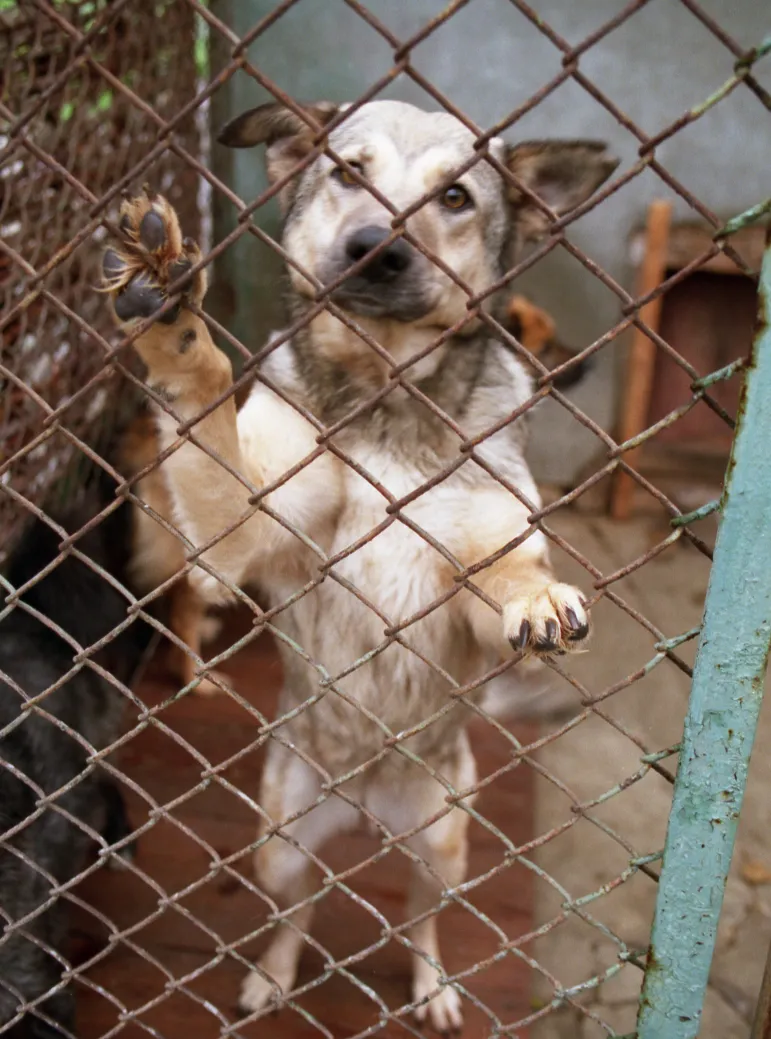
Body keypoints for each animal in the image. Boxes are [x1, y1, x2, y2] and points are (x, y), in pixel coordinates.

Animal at [102, 99, 619, 1030]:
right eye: (347, 172)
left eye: (454, 196)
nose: (377, 248)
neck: (384, 394)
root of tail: (364, 801)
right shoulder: (233, 538)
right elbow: (209, 403)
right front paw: (172, 323)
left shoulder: (477, 569)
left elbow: (510, 571)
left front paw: (537, 598)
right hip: (278, 841)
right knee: (296, 908)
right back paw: (272, 974)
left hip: (441, 845)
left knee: (420, 917)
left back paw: (433, 984)